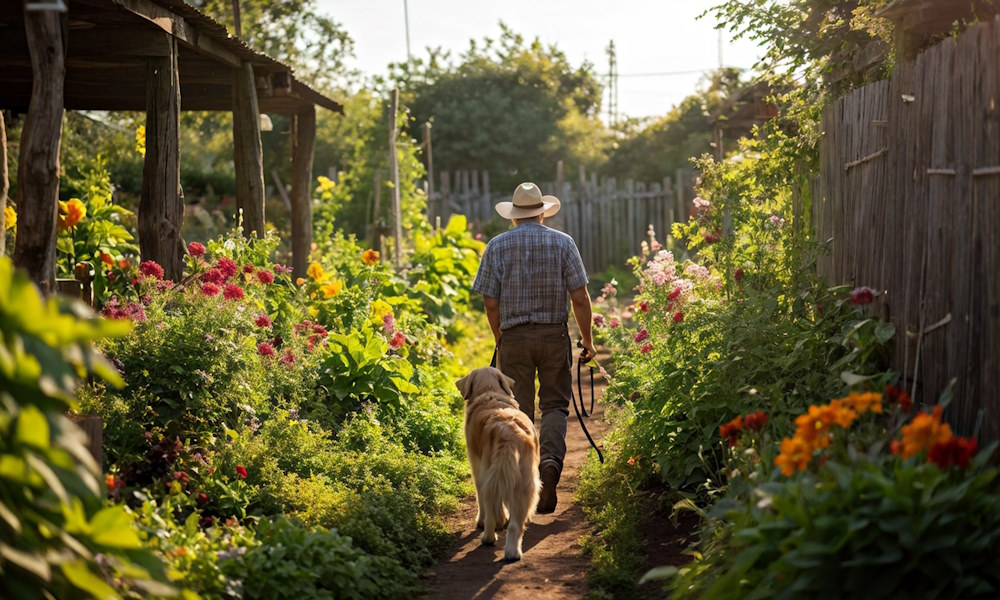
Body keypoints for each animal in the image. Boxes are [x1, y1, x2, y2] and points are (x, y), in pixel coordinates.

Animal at [458, 366, 544, 564]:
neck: (490, 392)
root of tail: (508, 432)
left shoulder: (476, 464)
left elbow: (481, 498)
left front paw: (484, 522)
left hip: (489, 472)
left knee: (489, 502)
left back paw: (488, 536)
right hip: (526, 480)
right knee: (516, 524)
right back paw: (513, 551)